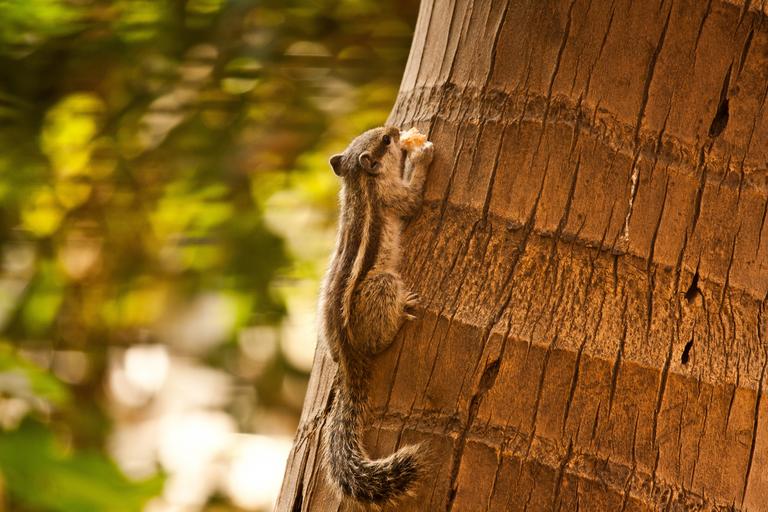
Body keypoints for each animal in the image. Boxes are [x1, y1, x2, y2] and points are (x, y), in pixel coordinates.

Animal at [318, 125, 434, 508]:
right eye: (385, 141)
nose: (396, 129)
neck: (360, 183)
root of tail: (347, 358)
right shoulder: (393, 197)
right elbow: (413, 199)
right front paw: (420, 156)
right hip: (383, 283)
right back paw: (403, 311)